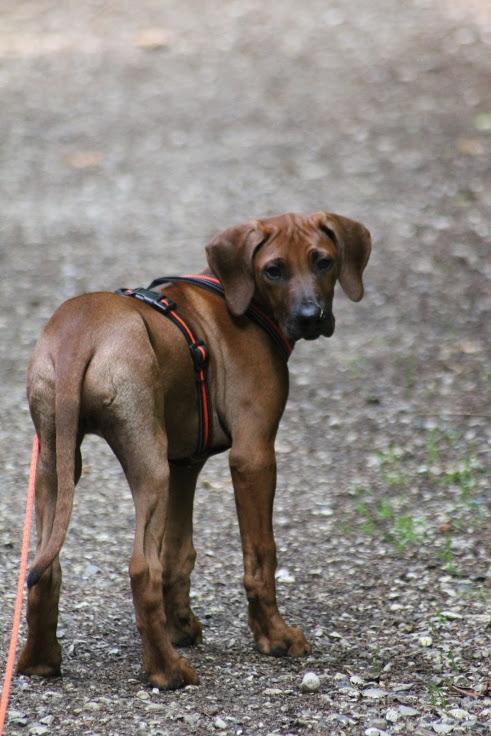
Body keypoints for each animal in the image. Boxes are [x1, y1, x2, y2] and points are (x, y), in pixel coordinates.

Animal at [16, 208, 372, 688]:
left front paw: (180, 626)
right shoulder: (253, 456)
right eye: (273, 270)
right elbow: (260, 555)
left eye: (323, 261)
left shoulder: (184, 462)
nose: (311, 316)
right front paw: (274, 637)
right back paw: (167, 672)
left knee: (45, 567)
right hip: (148, 464)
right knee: (141, 568)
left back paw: (40, 660)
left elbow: (178, 555)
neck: (242, 300)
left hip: (56, 461)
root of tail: (79, 334)